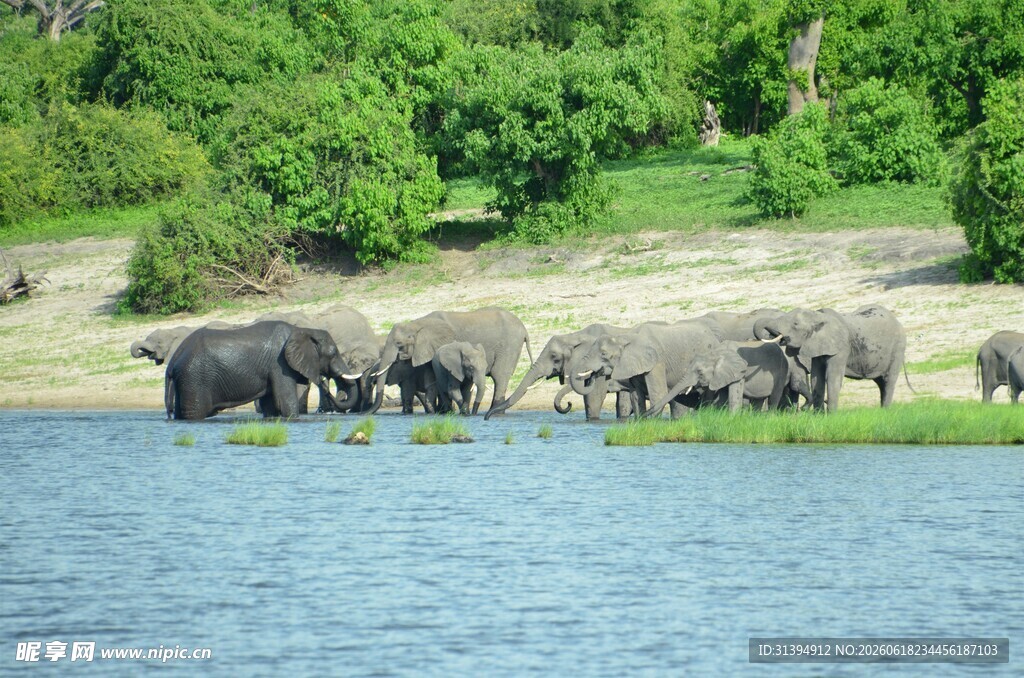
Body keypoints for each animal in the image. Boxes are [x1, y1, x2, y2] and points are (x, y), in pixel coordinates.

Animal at [164, 321, 351, 420]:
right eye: (333, 353)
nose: (324, 383)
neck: (303, 330)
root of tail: (173, 359)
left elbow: (270, 406)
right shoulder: (280, 366)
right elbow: (285, 404)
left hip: (186, 379)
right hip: (194, 378)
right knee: (195, 412)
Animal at [368, 307, 532, 414]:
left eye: (399, 344)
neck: (417, 324)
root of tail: (524, 329)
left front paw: (443, 411)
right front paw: (442, 411)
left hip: (509, 347)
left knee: (499, 377)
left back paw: (495, 412)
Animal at [574, 321, 721, 415]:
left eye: (604, 354)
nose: (593, 375)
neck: (626, 336)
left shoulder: (657, 362)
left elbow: (658, 394)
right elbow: (635, 397)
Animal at [643, 340, 790, 416]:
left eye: (699, 372)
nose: (643, 416)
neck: (715, 353)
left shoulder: (738, 371)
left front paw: (733, 418)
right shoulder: (721, 376)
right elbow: (723, 396)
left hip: (782, 371)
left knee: (774, 397)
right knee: (758, 401)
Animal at [754, 304, 907, 411]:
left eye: (795, 324)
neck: (819, 316)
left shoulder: (841, 348)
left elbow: (833, 378)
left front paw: (832, 415)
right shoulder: (816, 346)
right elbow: (817, 379)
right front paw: (818, 416)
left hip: (898, 348)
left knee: (888, 381)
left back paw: (886, 411)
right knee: (881, 384)